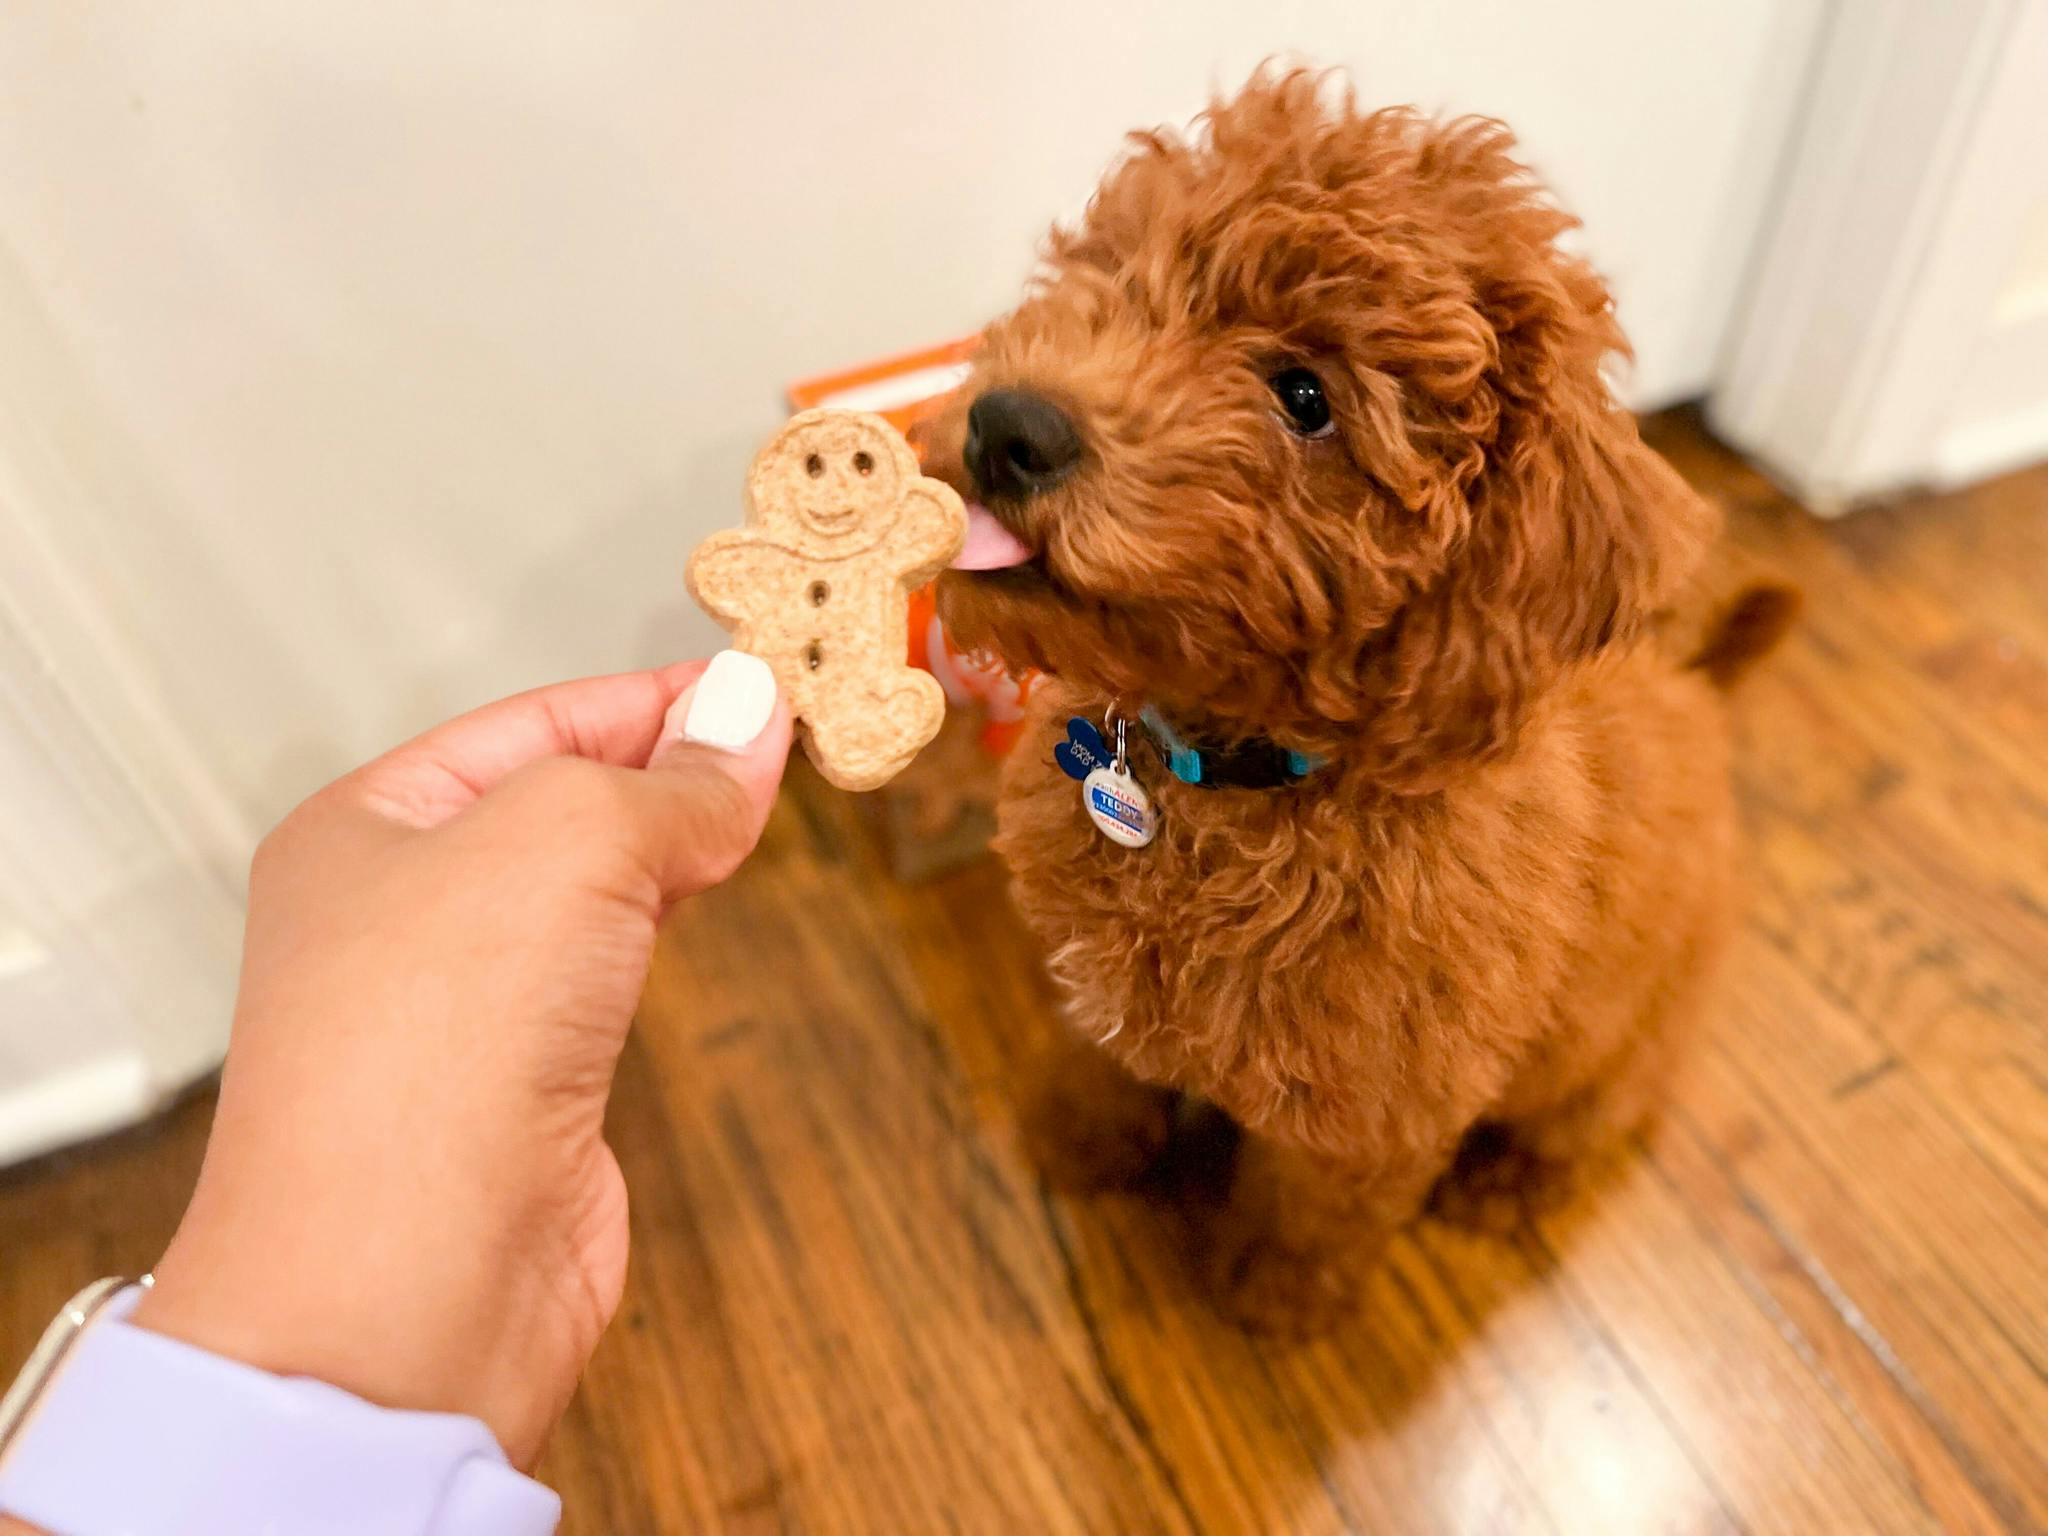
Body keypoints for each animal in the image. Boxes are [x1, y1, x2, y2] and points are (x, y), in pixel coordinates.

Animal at [921, 72, 1785, 1335]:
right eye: (1114, 275)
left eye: (1304, 397)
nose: (1009, 426)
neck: (1224, 778)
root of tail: (1698, 692)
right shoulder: (1098, 983)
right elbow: (1095, 1062)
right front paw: (1074, 1145)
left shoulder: (1378, 1104)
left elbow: (1315, 1208)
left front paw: (1274, 1302)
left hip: (1618, 1049)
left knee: (1592, 1117)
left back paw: (1504, 1182)